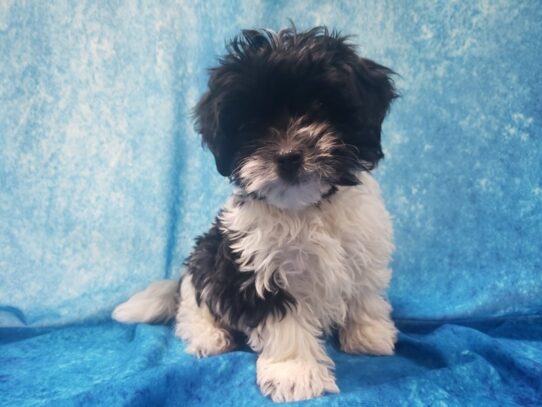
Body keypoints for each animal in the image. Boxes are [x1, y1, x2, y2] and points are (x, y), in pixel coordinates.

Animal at [112, 27, 400, 404]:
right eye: (251, 124)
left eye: (321, 107)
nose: (288, 156)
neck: (306, 206)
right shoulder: (259, 270)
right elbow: (285, 323)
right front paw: (295, 373)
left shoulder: (363, 247)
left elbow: (365, 293)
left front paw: (368, 334)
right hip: (206, 262)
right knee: (193, 308)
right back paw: (210, 336)